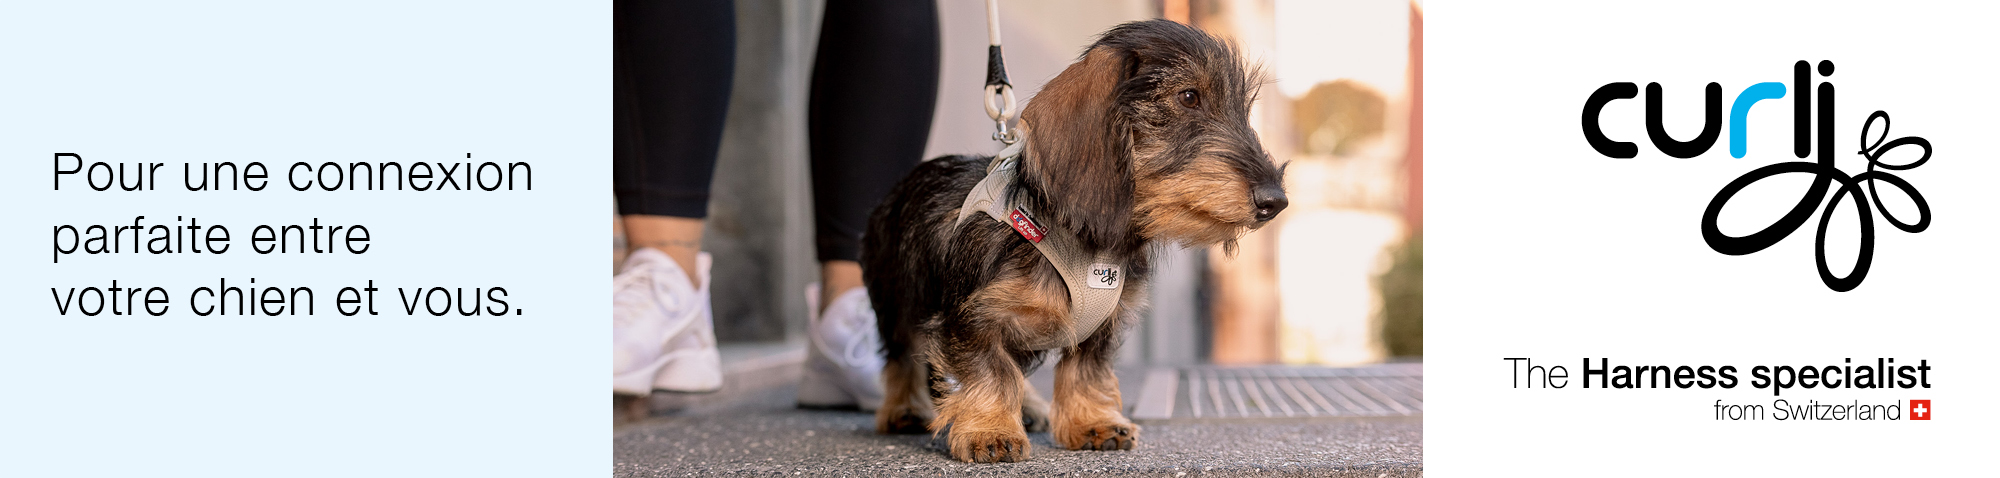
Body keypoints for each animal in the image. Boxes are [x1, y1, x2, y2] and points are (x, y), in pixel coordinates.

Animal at [860, 19, 1280, 464]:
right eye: (1188, 97)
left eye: (1243, 110)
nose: (1276, 200)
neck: (1082, 238)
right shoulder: (972, 316)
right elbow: (990, 370)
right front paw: (989, 430)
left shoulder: (1101, 325)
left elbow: (1084, 372)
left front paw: (1093, 423)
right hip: (895, 302)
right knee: (901, 357)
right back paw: (904, 409)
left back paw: (1029, 406)